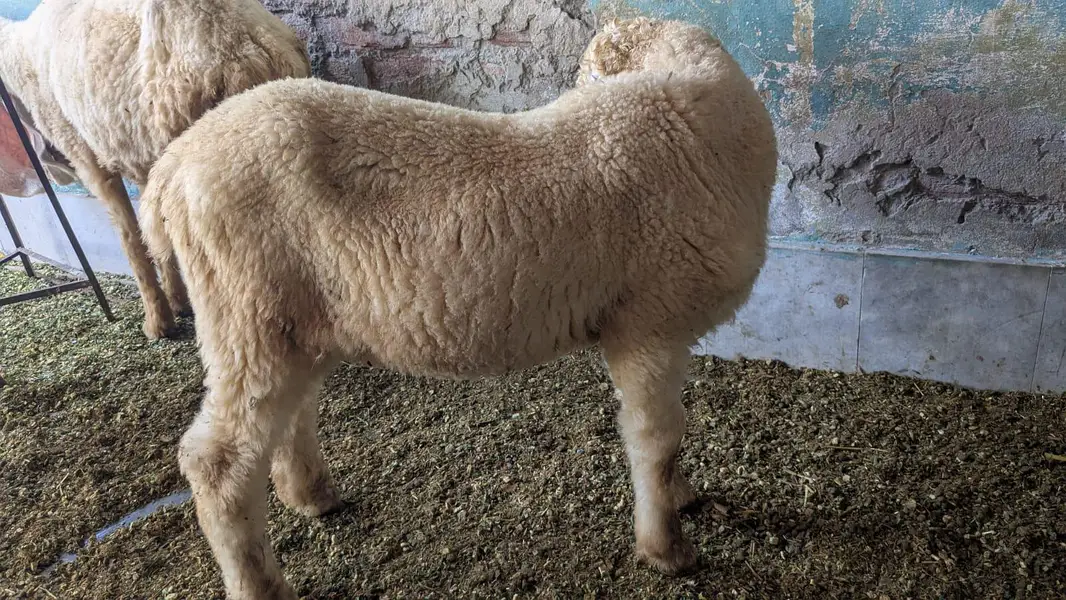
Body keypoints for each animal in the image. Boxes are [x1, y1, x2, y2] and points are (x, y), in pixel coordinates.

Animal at [0, 0, 310, 338]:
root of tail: (245, 49)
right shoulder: (145, 163)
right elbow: (154, 234)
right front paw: (176, 303)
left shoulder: (89, 159)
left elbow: (131, 238)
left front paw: (158, 321)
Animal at [140, 16, 778, 598]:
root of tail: (172, 164)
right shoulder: (648, 322)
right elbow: (656, 440)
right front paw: (667, 548)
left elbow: (667, 438)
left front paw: (681, 498)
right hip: (244, 310)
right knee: (216, 462)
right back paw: (260, 584)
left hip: (292, 321)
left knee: (287, 418)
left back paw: (313, 496)